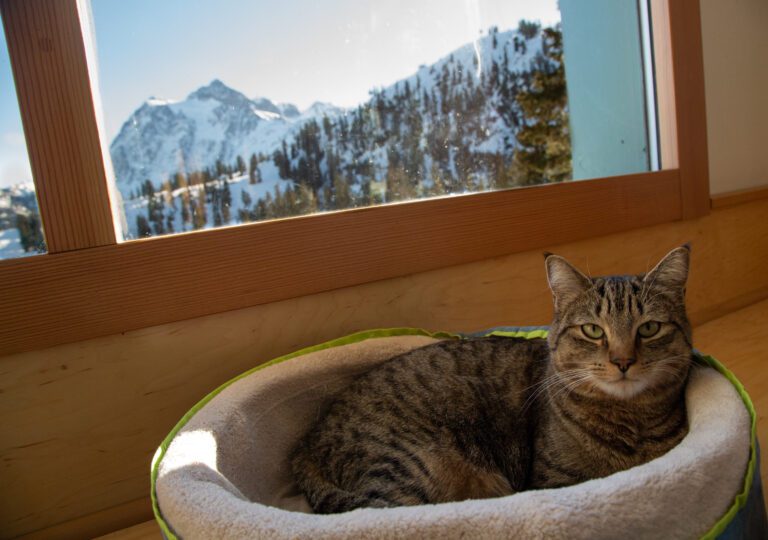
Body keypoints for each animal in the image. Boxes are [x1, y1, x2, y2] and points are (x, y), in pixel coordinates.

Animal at [292, 247, 692, 512]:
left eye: (649, 328)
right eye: (593, 330)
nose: (623, 361)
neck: (630, 423)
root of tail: (307, 443)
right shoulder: (555, 482)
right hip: (406, 468)